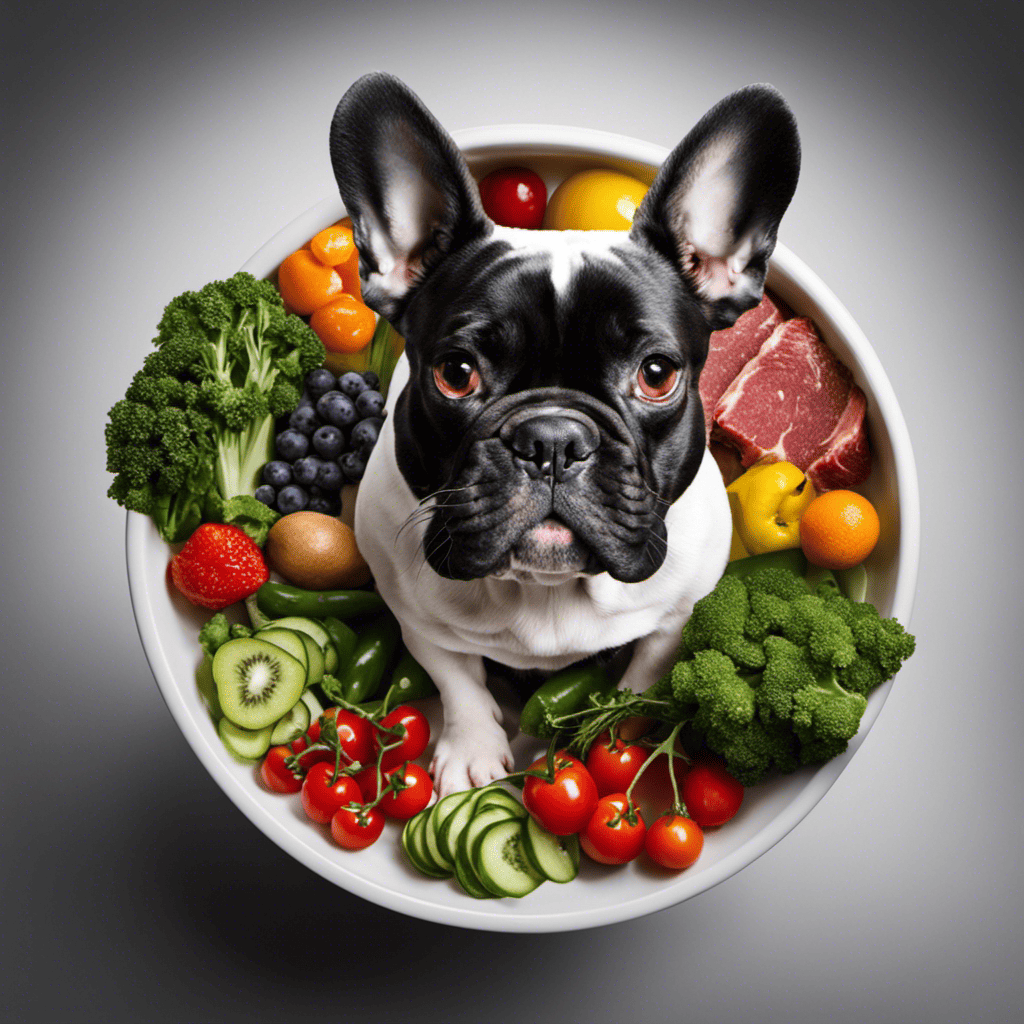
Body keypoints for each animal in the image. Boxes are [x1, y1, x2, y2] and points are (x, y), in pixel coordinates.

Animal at [327, 72, 798, 794]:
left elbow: (639, 683)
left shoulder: (675, 620)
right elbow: (456, 677)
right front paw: (472, 749)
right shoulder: (415, 618)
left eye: (656, 374)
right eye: (456, 372)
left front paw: (613, 737)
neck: (544, 593)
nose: (552, 439)